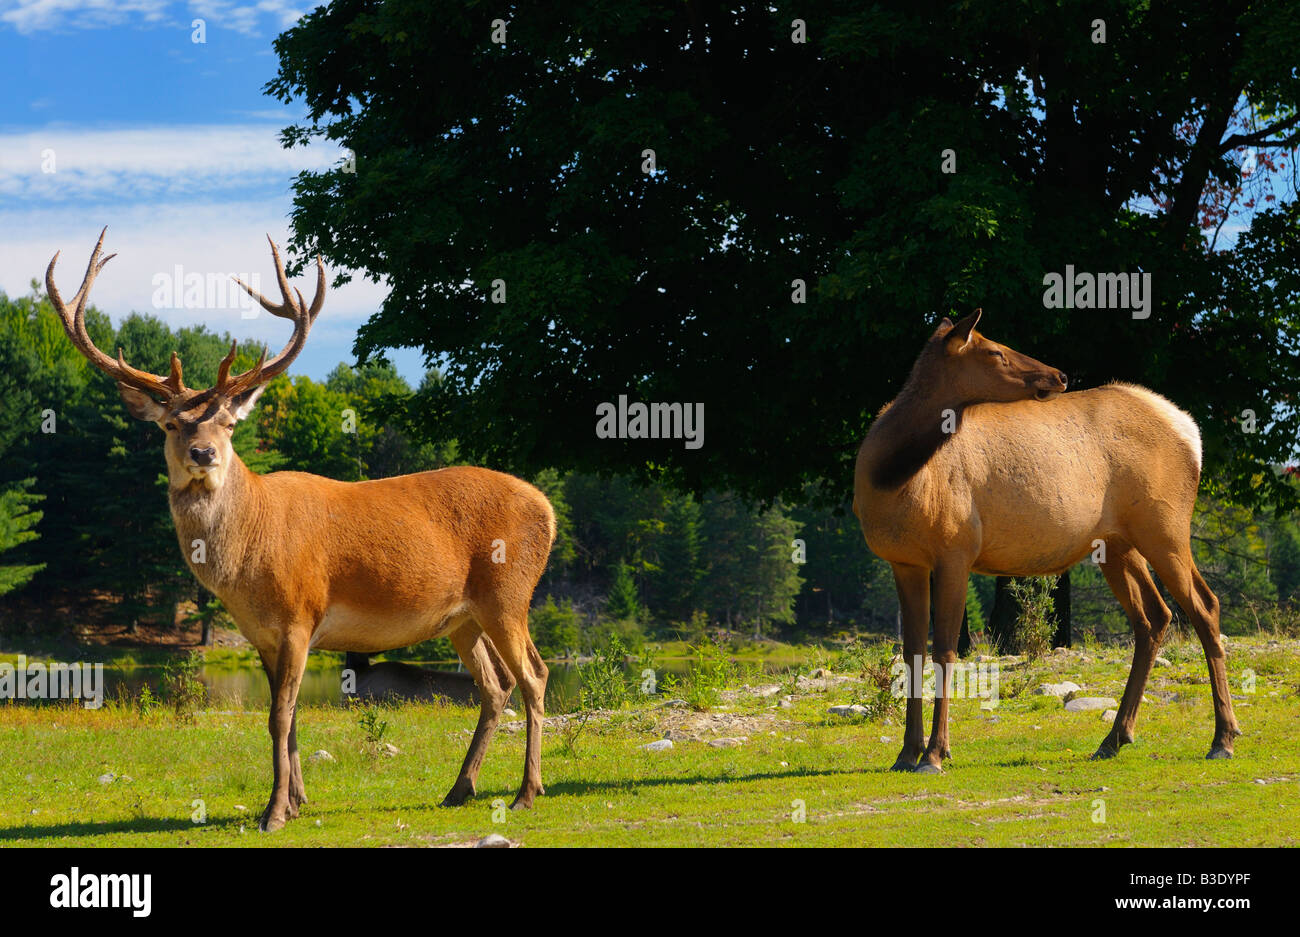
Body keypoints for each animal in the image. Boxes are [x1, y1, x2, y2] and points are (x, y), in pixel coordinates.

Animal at [48, 230, 556, 831]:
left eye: (229, 423)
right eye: (171, 424)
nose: (203, 453)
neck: (247, 558)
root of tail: (548, 510)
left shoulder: (299, 614)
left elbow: (279, 716)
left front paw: (274, 812)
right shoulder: (262, 634)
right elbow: (284, 719)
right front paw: (295, 800)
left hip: (508, 593)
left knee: (535, 675)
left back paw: (526, 793)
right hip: (462, 617)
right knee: (495, 686)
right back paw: (459, 790)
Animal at [852, 310, 1237, 769]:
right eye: (995, 351)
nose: (1060, 375)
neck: (889, 477)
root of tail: (1191, 432)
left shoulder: (956, 550)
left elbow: (946, 651)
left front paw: (934, 754)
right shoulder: (904, 561)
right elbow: (913, 654)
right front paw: (906, 753)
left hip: (1165, 527)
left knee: (1205, 606)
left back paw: (1223, 737)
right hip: (1116, 543)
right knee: (1154, 616)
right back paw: (1114, 738)